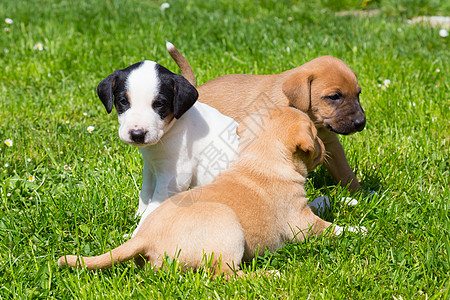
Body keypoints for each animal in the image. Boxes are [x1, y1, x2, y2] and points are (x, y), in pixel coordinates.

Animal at [59, 107, 362, 274]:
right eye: (314, 134)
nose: (323, 147)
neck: (260, 158)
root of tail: (144, 236)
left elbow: (319, 202)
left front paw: (342, 201)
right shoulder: (301, 222)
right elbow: (329, 228)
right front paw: (357, 230)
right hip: (226, 227)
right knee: (226, 275)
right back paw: (270, 274)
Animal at [97, 59, 239, 236]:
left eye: (159, 104)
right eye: (123, 101)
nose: (137, 134)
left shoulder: (173, 179)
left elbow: (153, 209)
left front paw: (136, 233)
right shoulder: (150, 167)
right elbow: (145, 193)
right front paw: (138, 215)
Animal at [168, 43, 366, 191]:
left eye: (358, 94)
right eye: (334, 97)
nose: (361, 123)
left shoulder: (331, 143)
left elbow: (345, 171)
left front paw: (359, 194)